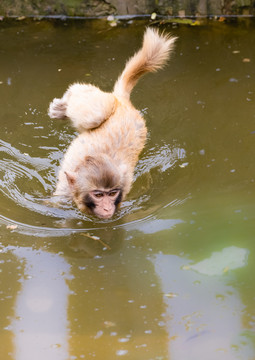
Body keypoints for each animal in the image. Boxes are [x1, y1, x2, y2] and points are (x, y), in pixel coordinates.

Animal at [47, 27, 176, 219]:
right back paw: (63, 105)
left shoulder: (124, 187)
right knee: (93, 110)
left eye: (112, 193)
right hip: (103, 106)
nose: (108, 208)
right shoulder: (64, 193)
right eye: (99, 195)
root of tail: (123, 101)